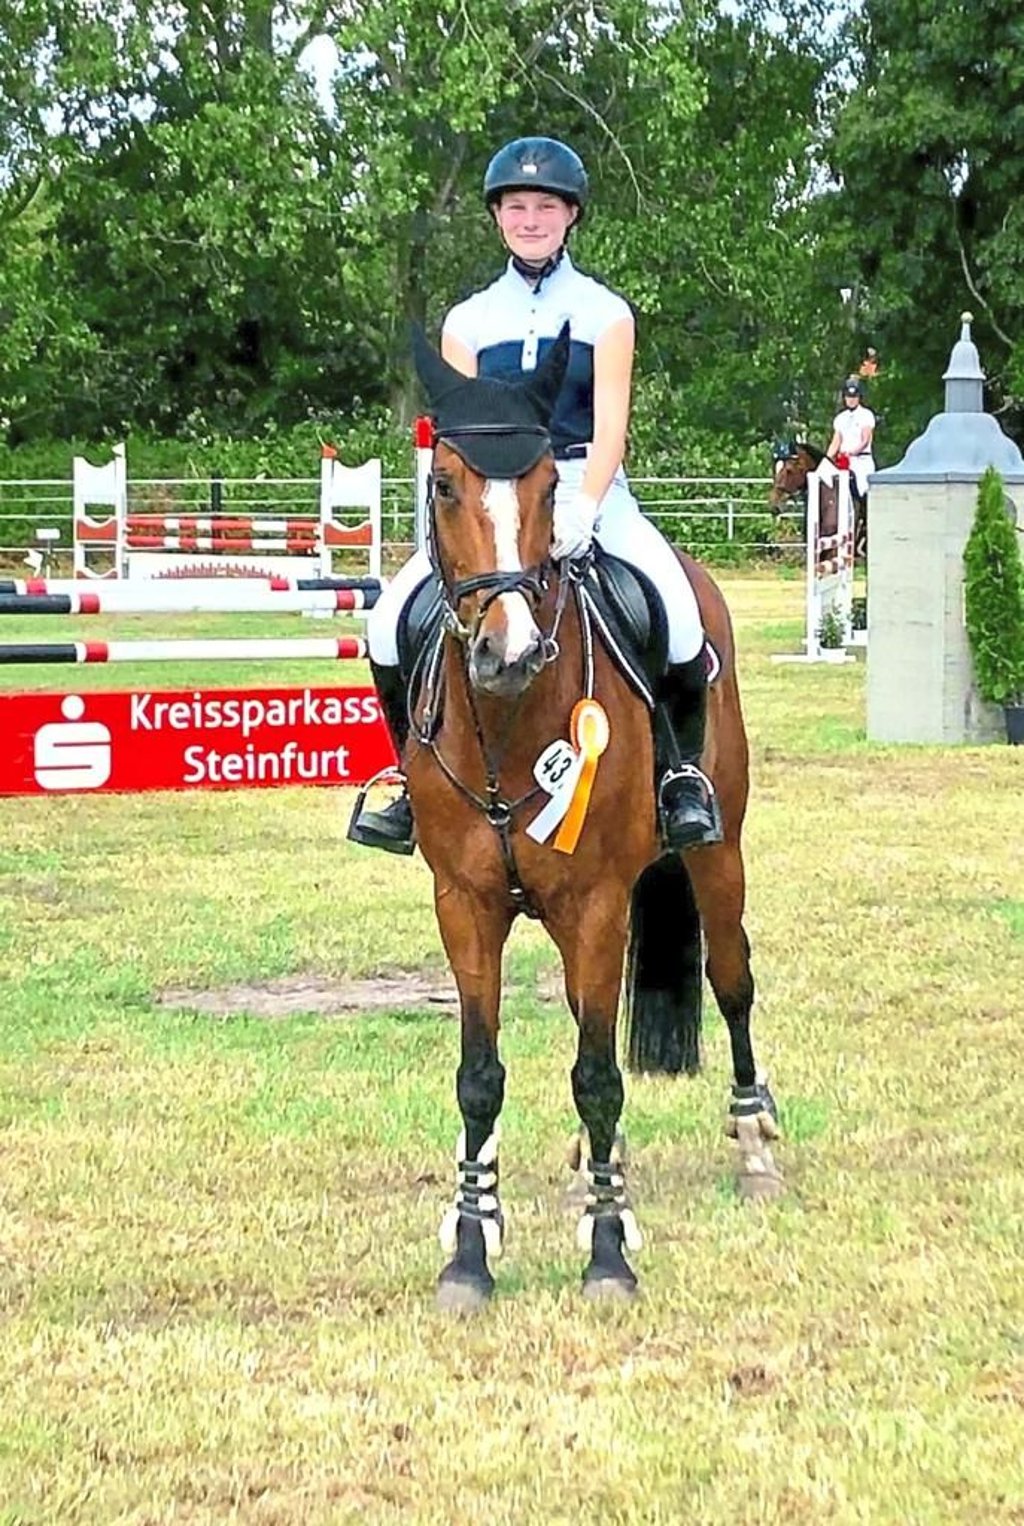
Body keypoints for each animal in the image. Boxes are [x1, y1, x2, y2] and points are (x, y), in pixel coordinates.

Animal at [405, 331, 781, 1312]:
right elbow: (481, 1077)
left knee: (731, 981)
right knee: (593, 1011)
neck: (507, 725)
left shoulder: (600, 902)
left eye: (547, 486)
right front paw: (471, 1247)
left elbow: (599, 1074)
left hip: (719, 855)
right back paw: (590, 1169)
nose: (507, 651)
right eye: (445, 483)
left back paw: (754, 1142)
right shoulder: (464, 905)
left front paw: (608, 1254)